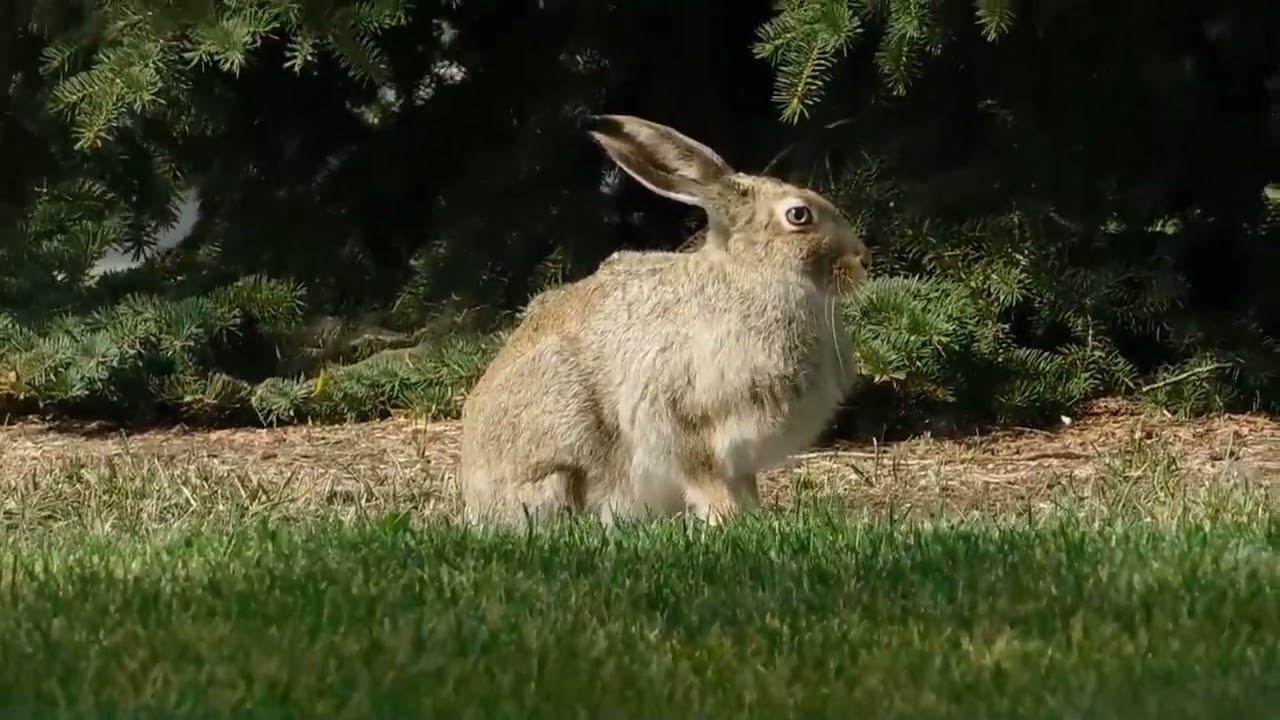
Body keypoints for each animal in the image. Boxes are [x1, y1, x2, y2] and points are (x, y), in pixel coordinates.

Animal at [458, 114, 872, 527]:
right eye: (799, 215)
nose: (864, 259)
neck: (755, 273)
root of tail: (475, 497)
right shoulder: (676, 421)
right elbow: (704, 479)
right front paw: (727, 520)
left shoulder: (741, 457)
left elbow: (744, 485)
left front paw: (754, 516)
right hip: (562, 449)